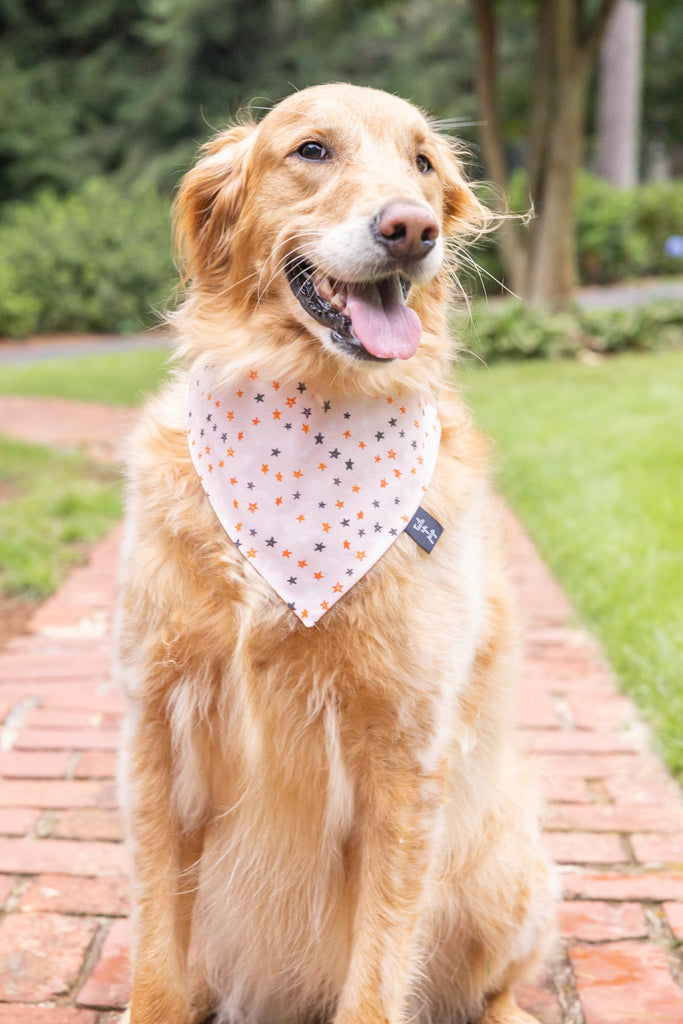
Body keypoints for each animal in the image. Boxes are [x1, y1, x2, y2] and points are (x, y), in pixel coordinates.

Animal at [115, 83, 556, 1024]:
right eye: (311, 150)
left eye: (421, 163)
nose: (411, 228)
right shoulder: (158, 727)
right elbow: (157, 962)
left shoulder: (403, 756)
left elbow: (378, 972)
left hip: (508, 865)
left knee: (496, 986)